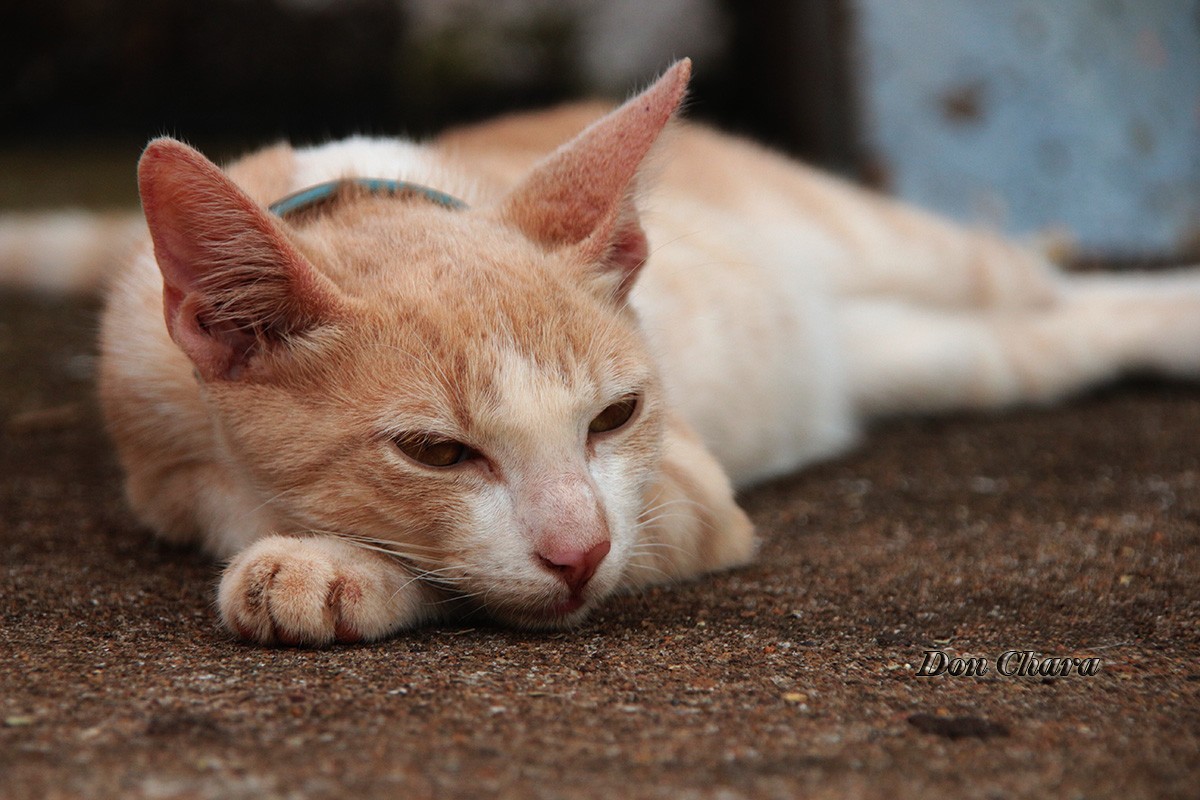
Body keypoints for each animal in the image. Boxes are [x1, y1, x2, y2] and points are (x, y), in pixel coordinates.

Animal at [2, 59, 1200, 647]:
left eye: (615, 417)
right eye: (436, 453)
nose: (577, 551)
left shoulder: (685, 493)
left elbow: (490, 574)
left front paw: (327, 567)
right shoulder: (150, 432)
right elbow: (228, 499)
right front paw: (311, 545)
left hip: (907, 249)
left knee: (1030, 276)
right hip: (929, 356)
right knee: (1039, 340)